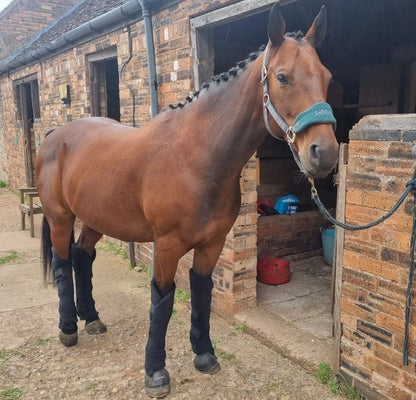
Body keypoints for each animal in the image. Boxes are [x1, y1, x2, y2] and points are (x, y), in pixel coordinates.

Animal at [36, 3, 338, 396]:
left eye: (327, 77)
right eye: (283, 77)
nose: (324, 153)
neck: (195, 158)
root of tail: (55, 134)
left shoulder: (213, 244)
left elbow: (202, 292)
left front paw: (204, 355)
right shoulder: (166, 247)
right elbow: (162, 302)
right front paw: (155, 373)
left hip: (96, 218)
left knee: (82, 257)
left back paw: (92, 319)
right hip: (60, 217)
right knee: (62, 263)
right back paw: (69, 328)